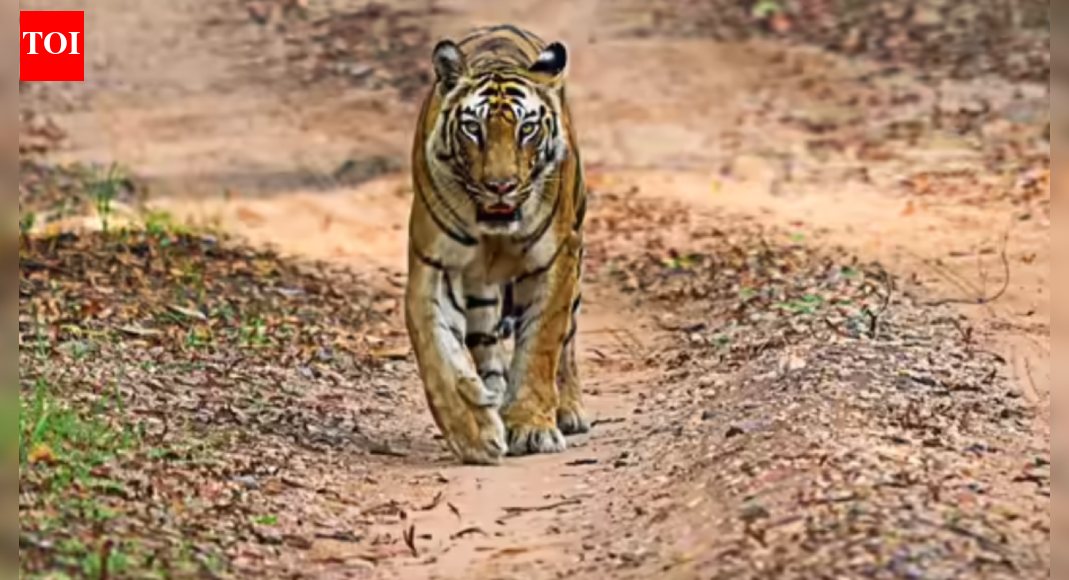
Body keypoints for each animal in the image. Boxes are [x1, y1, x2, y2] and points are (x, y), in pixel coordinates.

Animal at [405, 24, 589, 465]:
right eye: (474, 128)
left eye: (527, 130)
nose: (500, 186)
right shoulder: (433, 264)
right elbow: (436, 353)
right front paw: (475, 433)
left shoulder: (557, 259)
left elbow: (541, 344)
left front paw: (531, 427)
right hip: (481, 293)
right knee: (486, 348)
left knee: (568, 343)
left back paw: (568, 409)